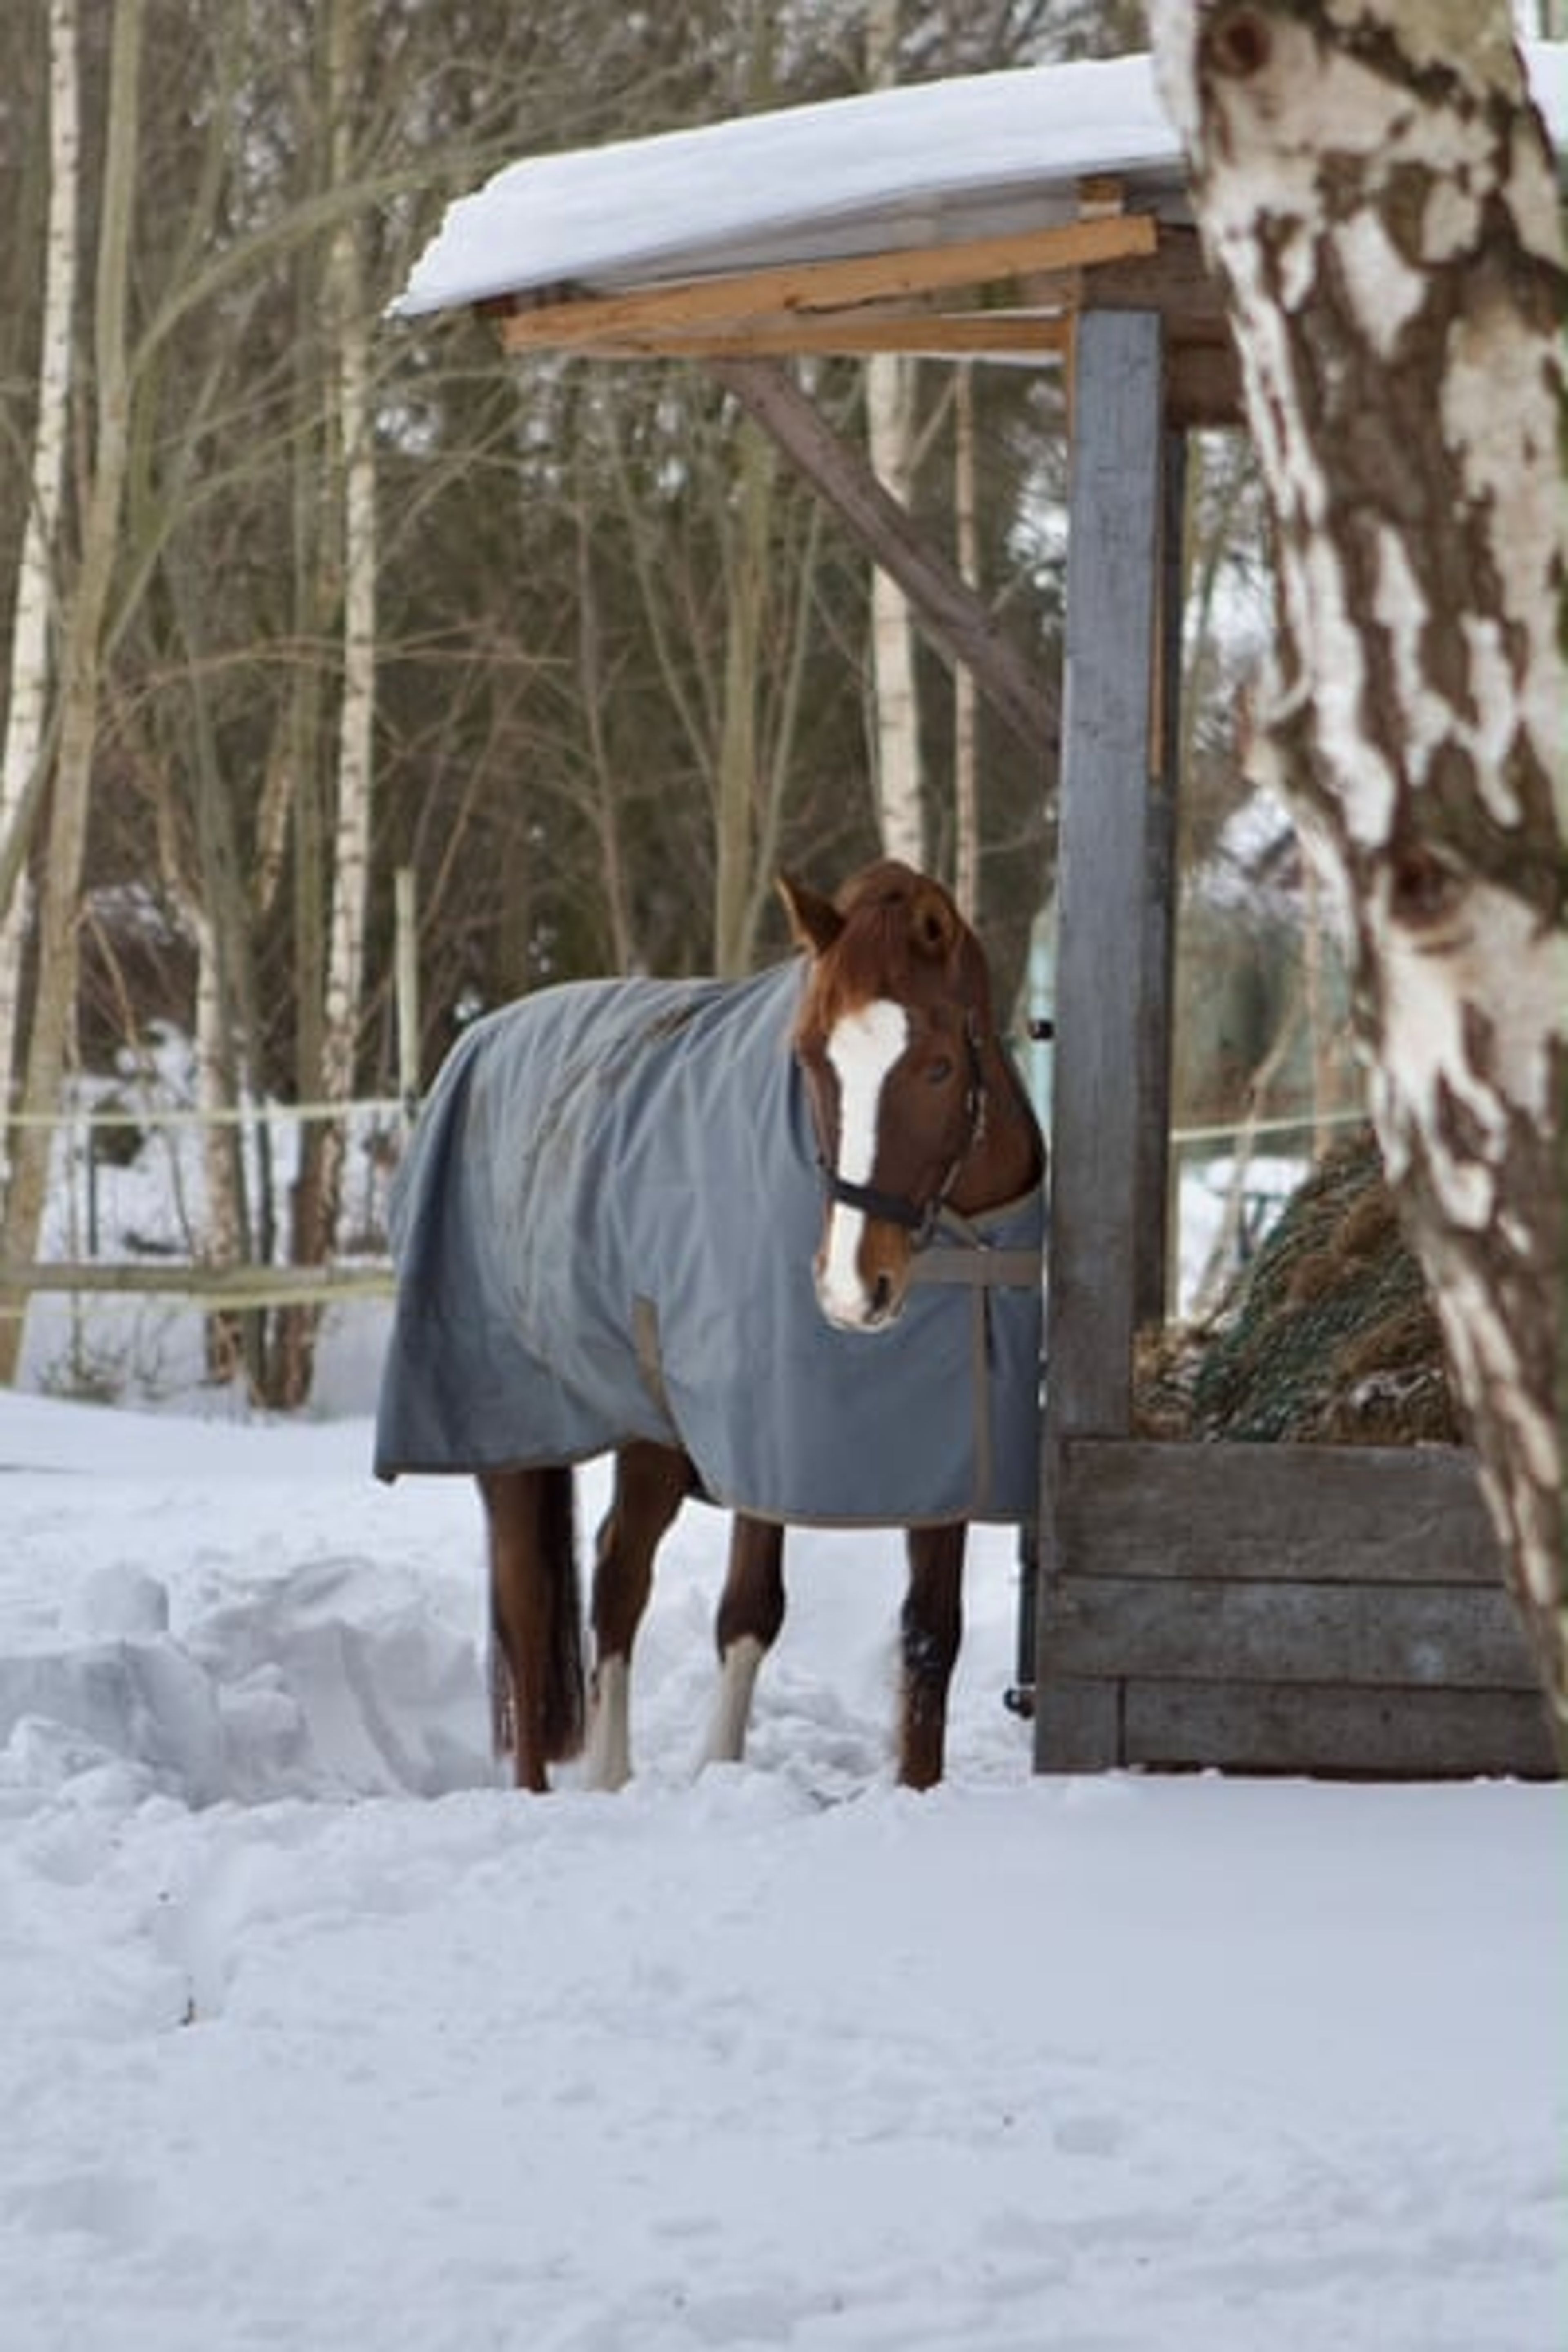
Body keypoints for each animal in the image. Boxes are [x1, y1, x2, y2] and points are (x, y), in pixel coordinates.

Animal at [375, 859, 1045, 1792]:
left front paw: (918, 1790)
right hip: (514, 1431)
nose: (851, 1289)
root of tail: (479, 1042)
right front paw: (719, 1773)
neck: (961, 1244)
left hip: (649, 1427)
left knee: (614, 1572)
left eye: (941, 1067)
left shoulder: (947, 1459)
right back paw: (563, 1788)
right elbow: (750, 1609)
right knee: (535, 1605)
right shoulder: (764, 1435)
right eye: (809, 1059)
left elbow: (929, 1633)